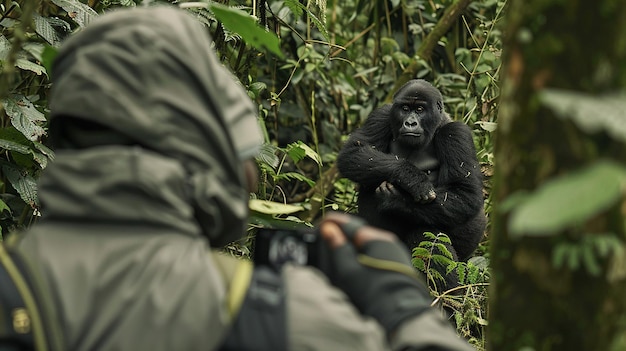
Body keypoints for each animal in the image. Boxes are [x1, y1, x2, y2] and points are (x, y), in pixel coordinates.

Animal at [336, 81, 482, 290]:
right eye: (405, 109)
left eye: (420, 110)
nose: (410, 123)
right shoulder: (381, 115)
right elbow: (353, 152)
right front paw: (410, 176)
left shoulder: (456, 133)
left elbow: (464, 193)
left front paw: (397, 200)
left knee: (430, 236)